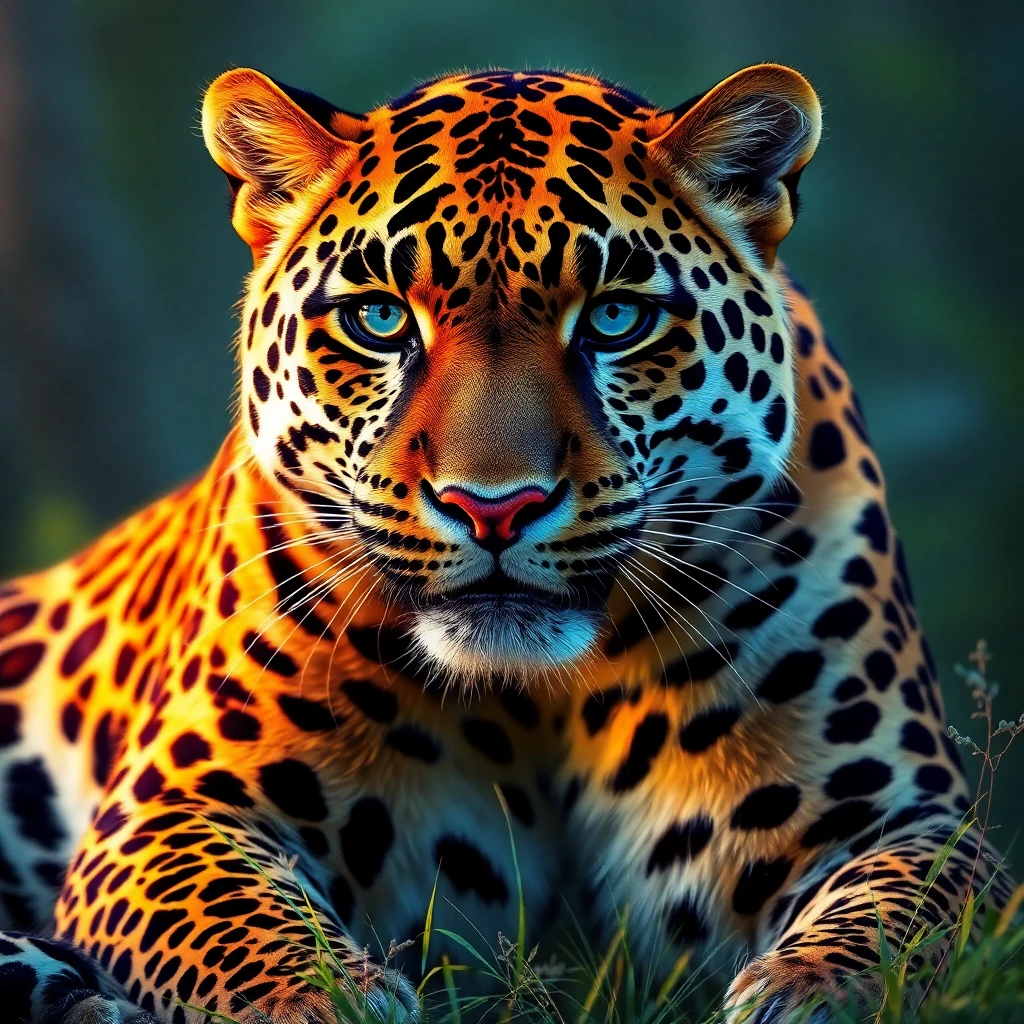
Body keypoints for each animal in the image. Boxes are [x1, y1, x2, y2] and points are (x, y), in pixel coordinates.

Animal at [0, 63, 1007, 1024]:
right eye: (378, 319)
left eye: (614, 317)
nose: (493, 508)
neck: (538, 695)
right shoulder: (173, 809)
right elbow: (237, 930)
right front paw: (326, 1002)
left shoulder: (898, 816)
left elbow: (903, 918)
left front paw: (812, 992)